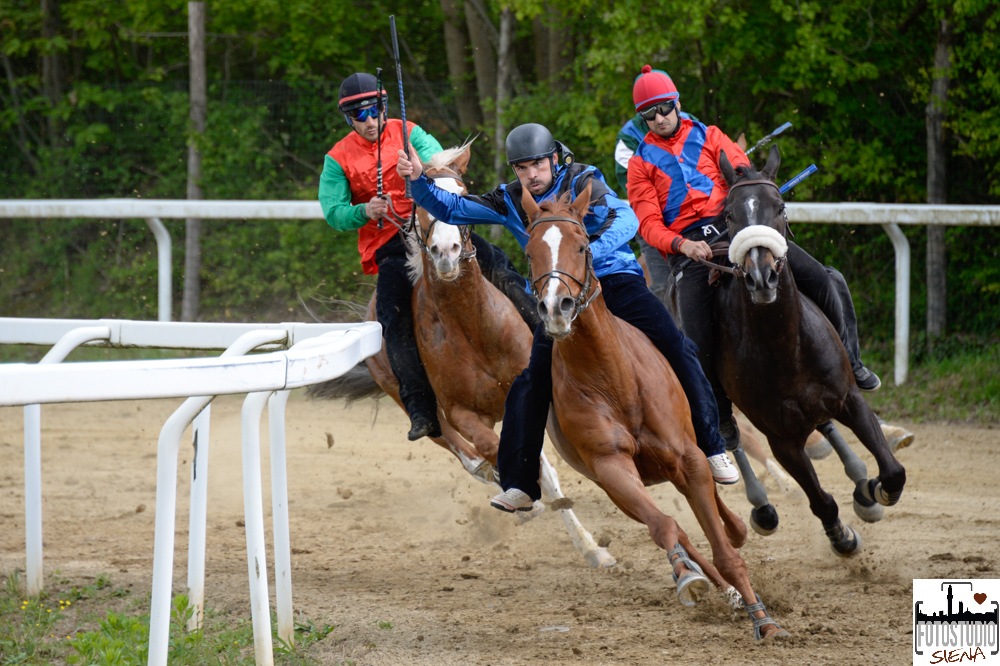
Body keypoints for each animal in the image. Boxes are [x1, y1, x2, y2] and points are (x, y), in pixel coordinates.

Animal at [308, 143, 612, 568]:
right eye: (419, 204)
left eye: (463, 192)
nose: (447, 251)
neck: (475, 328)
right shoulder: (460, 412)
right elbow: (493, 451)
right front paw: (521, 496)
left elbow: (544, 466)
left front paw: (591, 547)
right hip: (414, 405)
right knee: (463, 453)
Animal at [524, 182, 788, 640]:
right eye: (529, 251)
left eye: (582, 246)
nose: (556, 307)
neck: (615, 378)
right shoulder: (612, 468)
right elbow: (665, 526)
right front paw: (689, 578)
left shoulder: (688, 458)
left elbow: (725, 548)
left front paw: (764, 620)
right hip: (624, 484)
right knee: (673, 526)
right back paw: (703, 577)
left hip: (681, 461)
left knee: (720, 514)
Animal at [680, 147, 908, 556]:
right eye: (729, 214)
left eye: (781, 206)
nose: (762, 277)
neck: (785, 346)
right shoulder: (781, 438)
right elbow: (820, 500)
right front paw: (841, 535)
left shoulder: (849, 399)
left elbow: (893, 470)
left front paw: (874, 489)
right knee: (729, 434)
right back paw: (762, 507)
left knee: (825, 425)